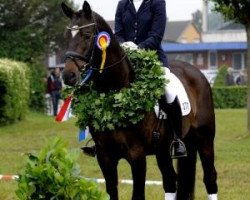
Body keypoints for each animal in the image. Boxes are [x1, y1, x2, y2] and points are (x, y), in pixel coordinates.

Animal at [60, 1, 217, 200]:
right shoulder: (105, 156)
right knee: (170, 180)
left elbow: (138, 194)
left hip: (204, 139)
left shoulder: (137, 155)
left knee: (209, 177)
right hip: (164, 150)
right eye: (67, 36)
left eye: (87, 35)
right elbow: (111, 193)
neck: (114, 96)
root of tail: (197, 73)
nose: (68, 76)